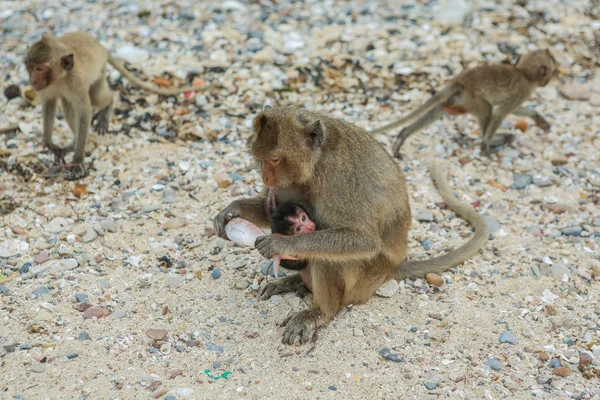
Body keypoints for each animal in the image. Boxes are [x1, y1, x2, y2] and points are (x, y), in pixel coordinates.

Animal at [25, 32, 219, 179]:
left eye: (40, 68)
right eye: (30, 67)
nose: (32, 81)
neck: (59, 78)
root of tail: (100, 45)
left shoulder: (76, 83)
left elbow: (85, 110)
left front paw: (78, 161)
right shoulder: (47, 89)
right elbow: (49, 105)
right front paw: (50, 144)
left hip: (100, 71)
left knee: (97, 98)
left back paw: (107, 107)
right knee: (67, 105)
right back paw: (73, 142)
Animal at [370, 48, 556, 158]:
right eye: (551, 72)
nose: (548, 81)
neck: (523, 73)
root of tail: (460, 81)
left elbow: (512, 110)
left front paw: (537, 117)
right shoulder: (523, 91)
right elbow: (501, 112)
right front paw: (486, 145)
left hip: (460, 99)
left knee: (440, 108)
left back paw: (404, 133)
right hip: (472, 99)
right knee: (487, 109)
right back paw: (493, 139)